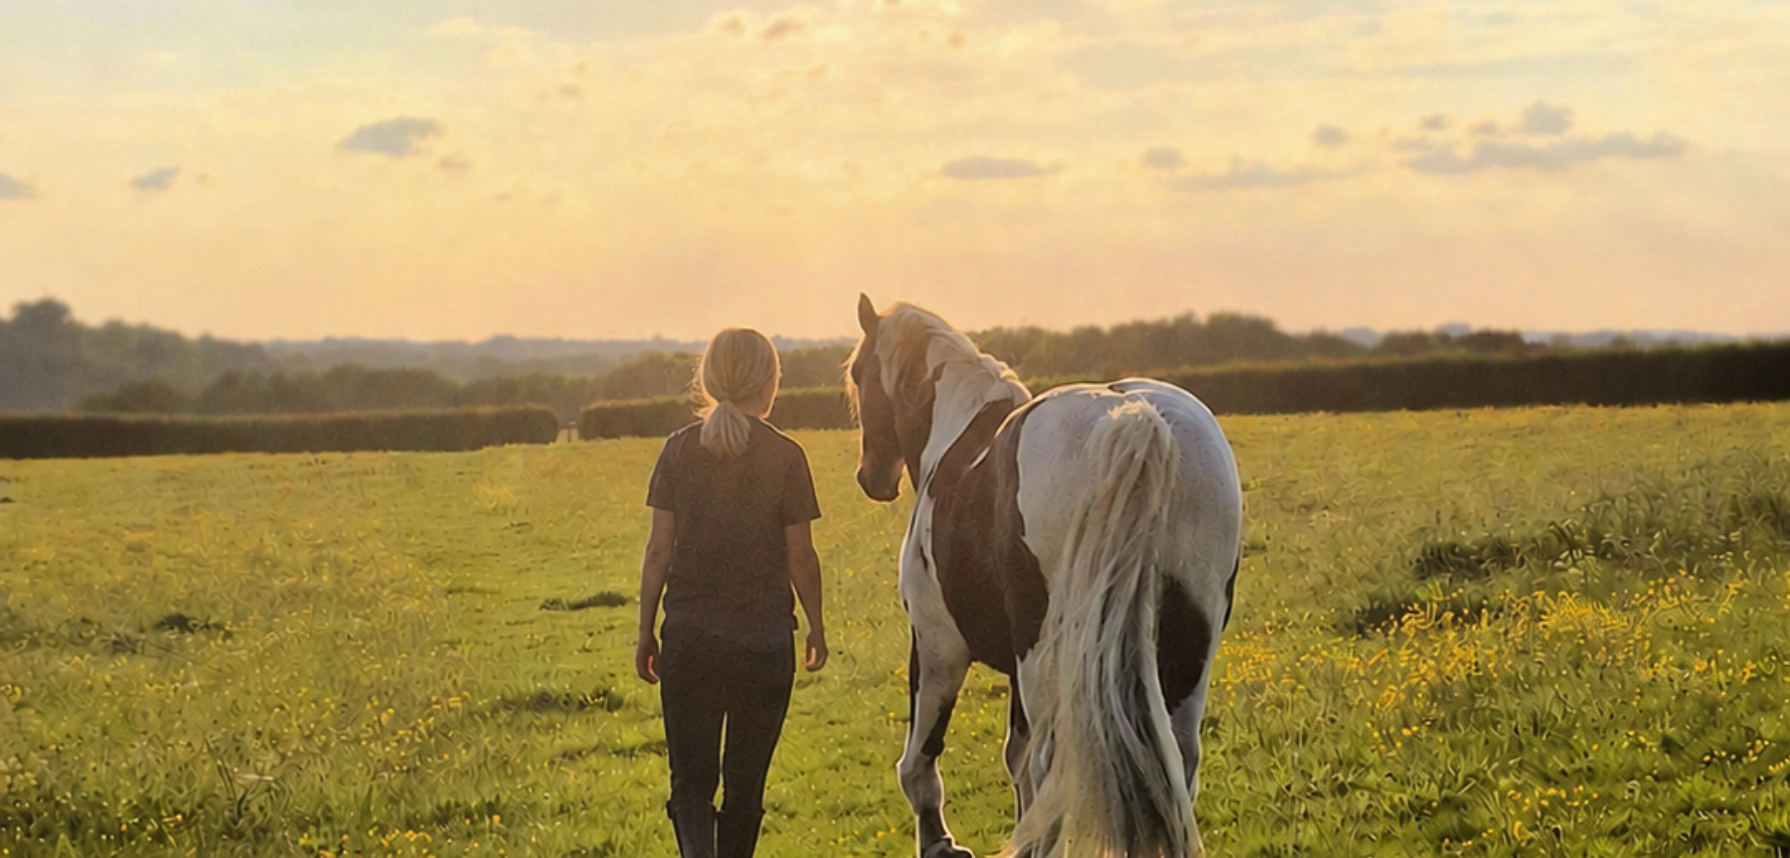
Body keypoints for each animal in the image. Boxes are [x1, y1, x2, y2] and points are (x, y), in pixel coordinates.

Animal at [845, 295, 1243, 858]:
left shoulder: (937, 643)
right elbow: (1016, 760)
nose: (872, 477)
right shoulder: (1015, 668)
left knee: (1050, 765)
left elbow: (922, 761)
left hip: (1043, 656)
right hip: (1190, 645)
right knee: (1178, 761)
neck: (957, 440)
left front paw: (938, 842)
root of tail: (1136, 418)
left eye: (858, 373)